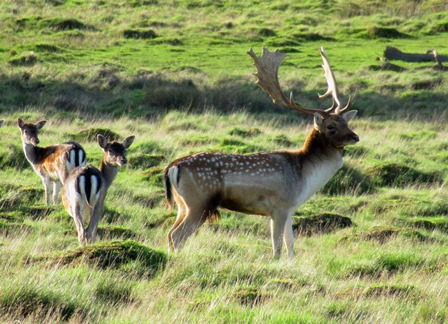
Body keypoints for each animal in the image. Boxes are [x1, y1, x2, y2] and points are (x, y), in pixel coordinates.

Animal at [164, 47, 360, 258]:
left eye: (346, 122)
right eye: (331, 126)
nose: (355, 137)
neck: (304, 178)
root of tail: (173, 167)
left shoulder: (290, 209)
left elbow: (291, 244)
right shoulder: (279, 206)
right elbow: (277, 246)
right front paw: (275, 261)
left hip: (182, 204)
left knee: (170, 233)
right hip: (199, 201)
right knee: (178, 235)